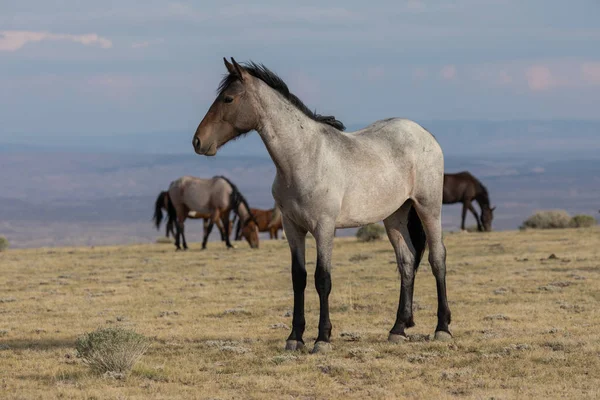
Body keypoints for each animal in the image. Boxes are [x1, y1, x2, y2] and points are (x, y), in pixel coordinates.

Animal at [191, 57, 450, 352]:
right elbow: (299, 278)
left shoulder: (324, 228)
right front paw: (295, 337)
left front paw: (322, 338)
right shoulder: (293, 228)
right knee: (406, 262)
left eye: (228, 98)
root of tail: (425, 134)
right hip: (394, 216)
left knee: (437, 258)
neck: (303, 157)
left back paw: (442, 328)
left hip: (428, 208)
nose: (198, 141)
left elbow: (322, 279)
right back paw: (398, 329)